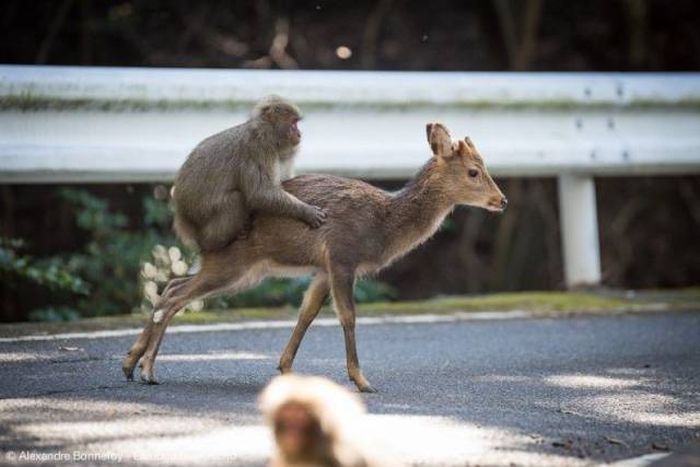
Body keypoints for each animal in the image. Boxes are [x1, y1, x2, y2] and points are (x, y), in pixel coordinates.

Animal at [120, 122, 504, 394]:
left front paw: (286, 368)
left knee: (171, 285)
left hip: (238, 269)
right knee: (176, 295)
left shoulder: (322, 268)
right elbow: (347, 316)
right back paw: (148, 370)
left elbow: (307, 312)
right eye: (473, 171)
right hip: (233, 263)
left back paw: (130, 364)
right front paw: (362, 380)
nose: (502, 200)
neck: (382, 225)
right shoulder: (342, 255)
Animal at [175, 94, 328, 252]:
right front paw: (306, 211)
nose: (299, 134)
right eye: (293, 123)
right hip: (203, 220)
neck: (265, 133)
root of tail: (183, 216)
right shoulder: (258, 150)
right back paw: (213, 243)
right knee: (236, 199)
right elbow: (260, 193)